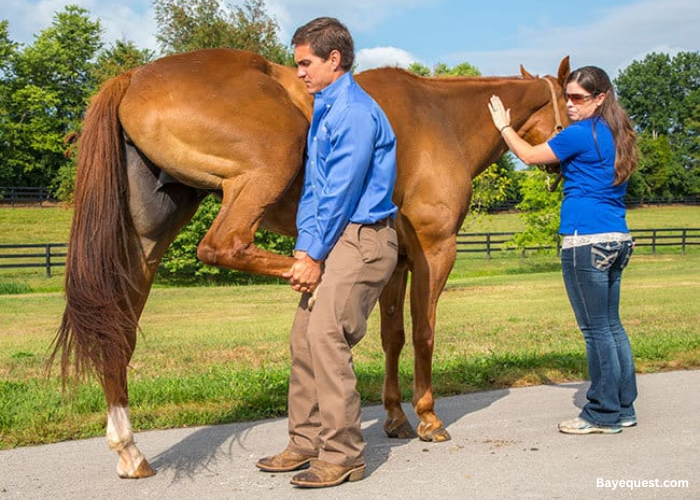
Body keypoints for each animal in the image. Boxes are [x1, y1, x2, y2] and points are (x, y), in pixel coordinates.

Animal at [51, 48, 569, 478]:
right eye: (573, 103)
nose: (561, 164)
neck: (441, 117)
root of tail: (134, 75)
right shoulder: (434, 249)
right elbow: (424, 332)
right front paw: (426, 417)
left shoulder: (398, 262)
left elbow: (394, 338)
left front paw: (396, 417)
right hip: (266, 165)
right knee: (222, 246)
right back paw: (310, 275)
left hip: (145, 244)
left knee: (119, 333)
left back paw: (129, 449)